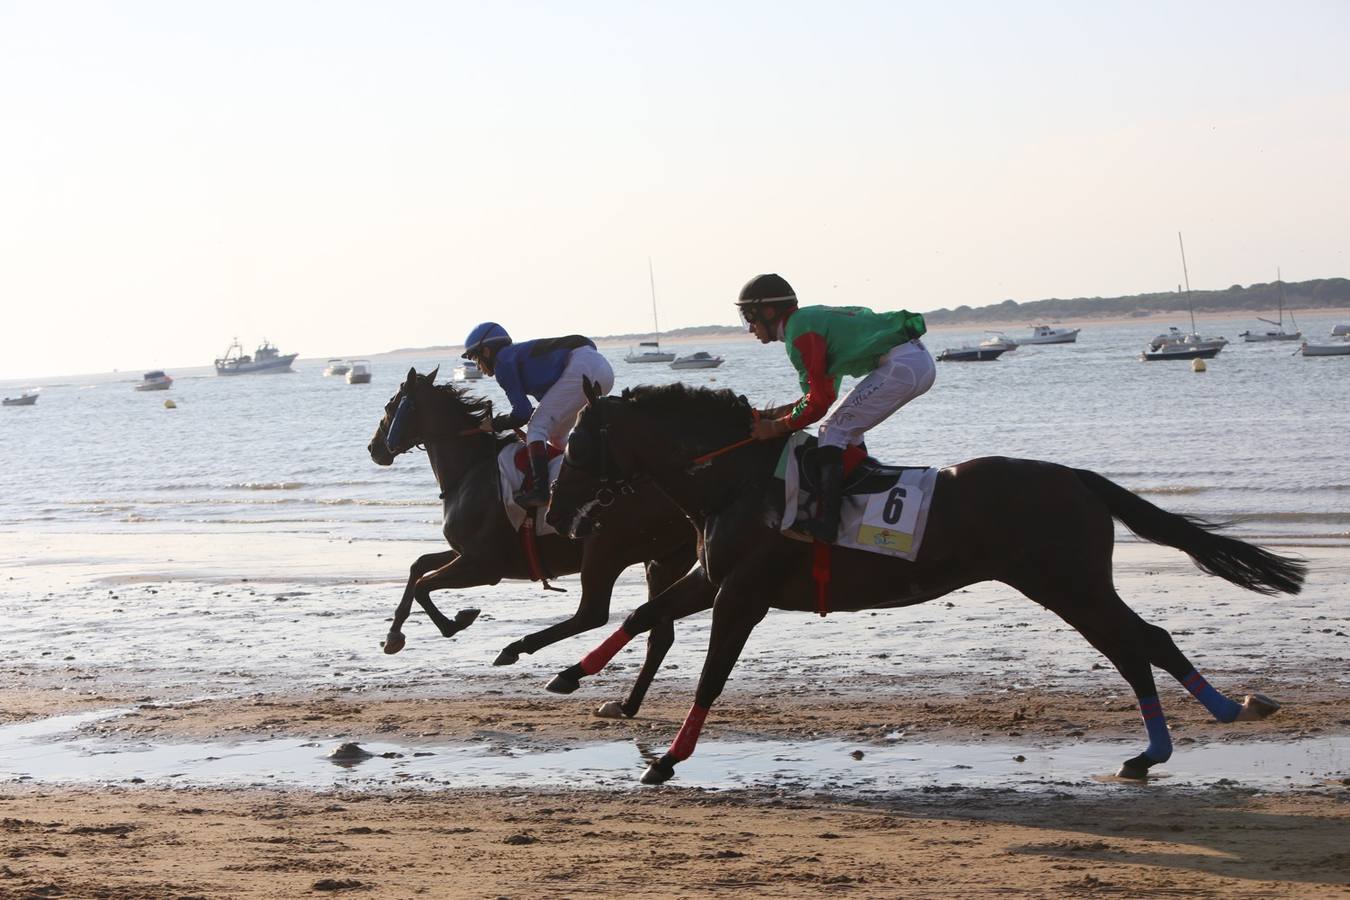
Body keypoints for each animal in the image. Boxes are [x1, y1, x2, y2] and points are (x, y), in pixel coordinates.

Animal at [364, 367, 712, 717]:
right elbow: (418, 565)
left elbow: (423, 585)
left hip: (602, 550)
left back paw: (532, 657)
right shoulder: (465, 553)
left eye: (390, 407)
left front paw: (457, 620)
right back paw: (626, 703)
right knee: (659, 630)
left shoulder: (484, 566)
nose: (374, 448)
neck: (470, 470)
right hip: (663, 560)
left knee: (593, 614)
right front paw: (393, 636)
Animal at [542, 383, 1301, 782]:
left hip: (1067, 582)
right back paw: (1173, 739)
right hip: (1067, 585)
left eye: (576, 445)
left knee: (1139, 643)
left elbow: (709, 676)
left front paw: (669, 757)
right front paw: (570, 675)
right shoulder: (710, 577)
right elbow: (641, 618)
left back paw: (1193, 726)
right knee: (1137, 644)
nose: (553, 513)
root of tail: (1076, 478)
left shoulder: (743, 597)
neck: (736, 480)